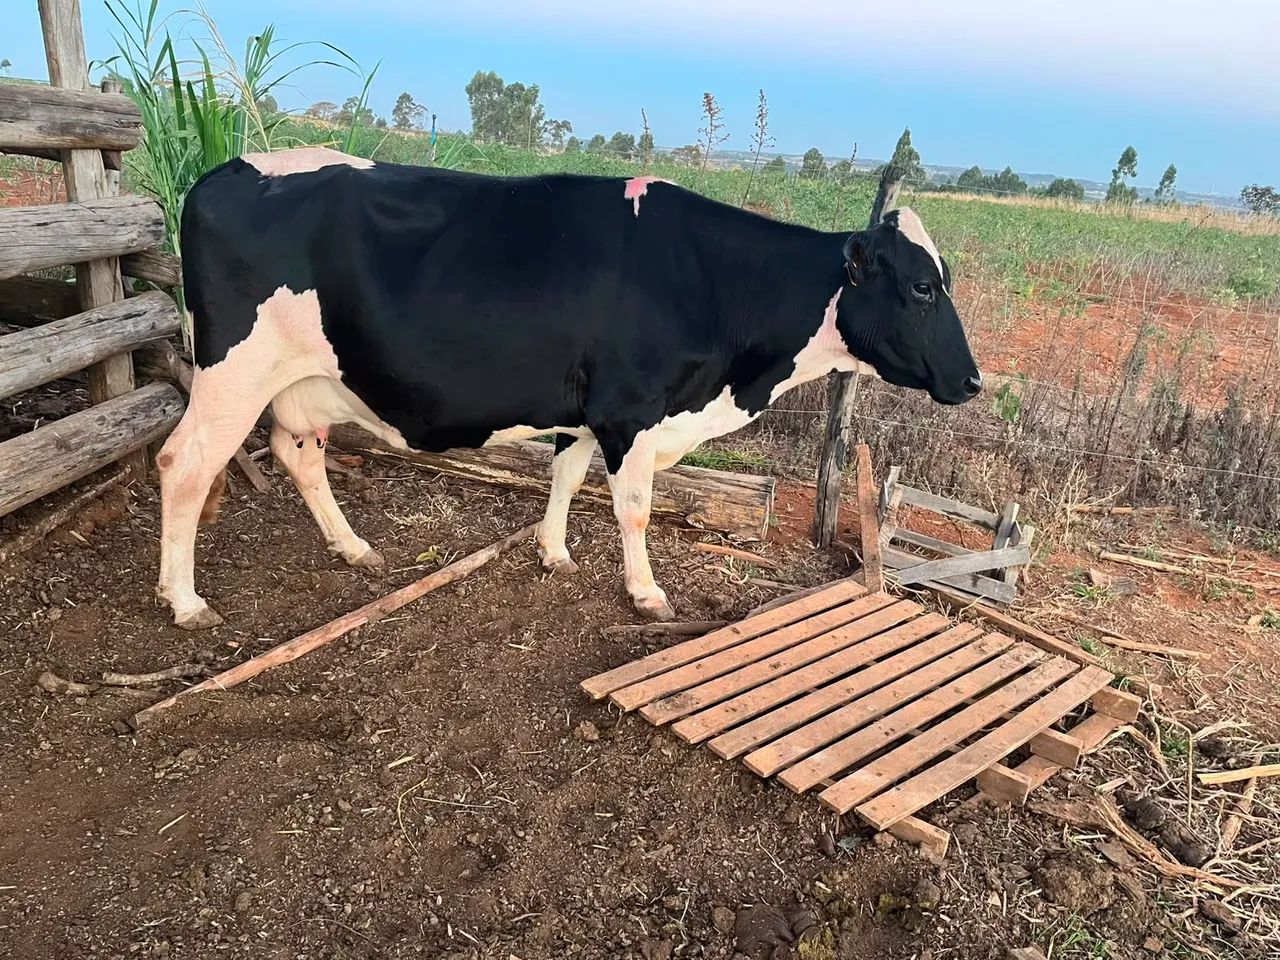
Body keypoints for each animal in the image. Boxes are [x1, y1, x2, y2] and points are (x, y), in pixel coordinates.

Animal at [155, 146, 980, 630]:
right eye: (920, 287)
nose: (973, 380)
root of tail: (226, 169)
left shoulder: (588, 412)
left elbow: (565, 475)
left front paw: (552, 552)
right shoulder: (632, 408)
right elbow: (634, 507)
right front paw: (645, 592)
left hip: (305, 381)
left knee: (300, 453)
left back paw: (354, 548)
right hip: (232, 373)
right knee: (183, 464)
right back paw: (185, 600)